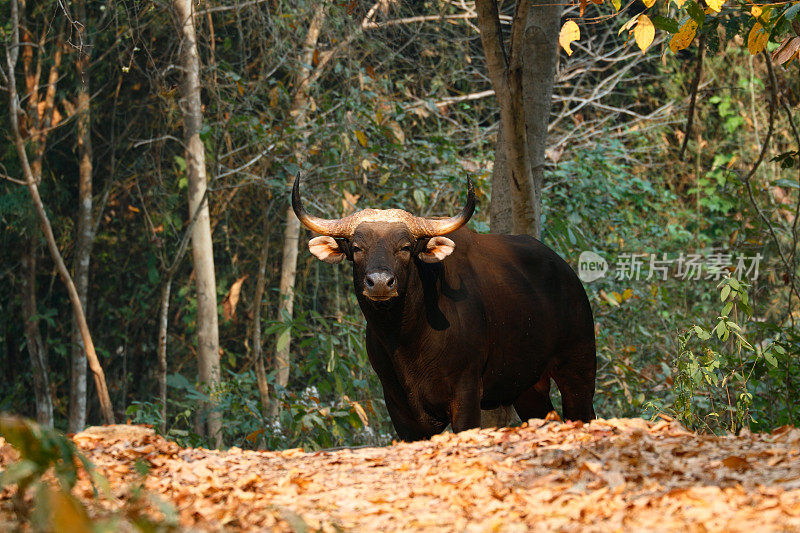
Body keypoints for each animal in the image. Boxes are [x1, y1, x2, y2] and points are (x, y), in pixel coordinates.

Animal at [292, 176, 592, 440]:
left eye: (405, 247)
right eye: (356, 247)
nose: (379, 282)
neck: (407, 340)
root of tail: (568, 274)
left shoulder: (466, 392)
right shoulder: (398, 405)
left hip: (578, 367)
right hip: (528, 387)